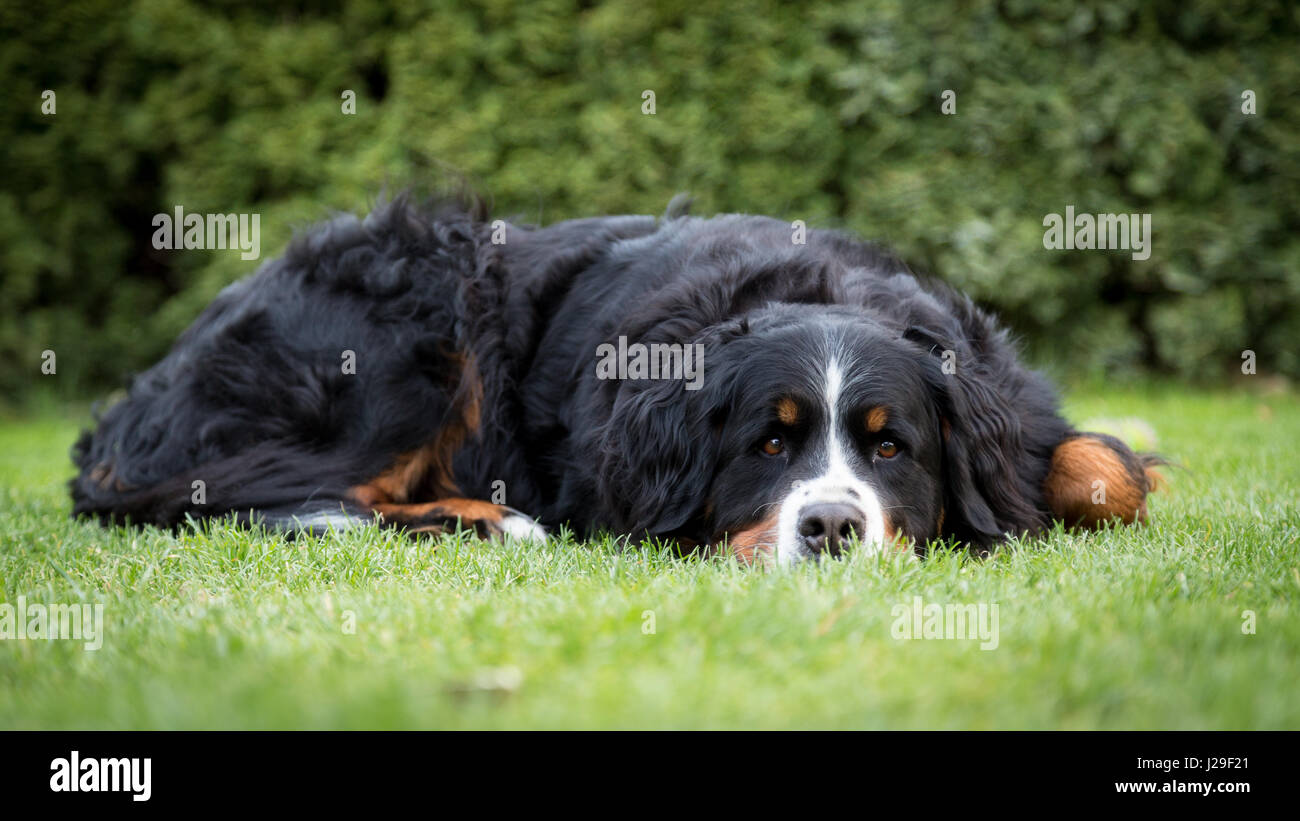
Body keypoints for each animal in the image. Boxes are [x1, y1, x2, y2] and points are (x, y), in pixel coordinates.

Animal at [76, 194, 1164, 561]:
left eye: (891, 445)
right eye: (769, 441)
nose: (830, 526)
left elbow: (1096, 469)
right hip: (419, 312)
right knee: (283, 498)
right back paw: (490, 518)